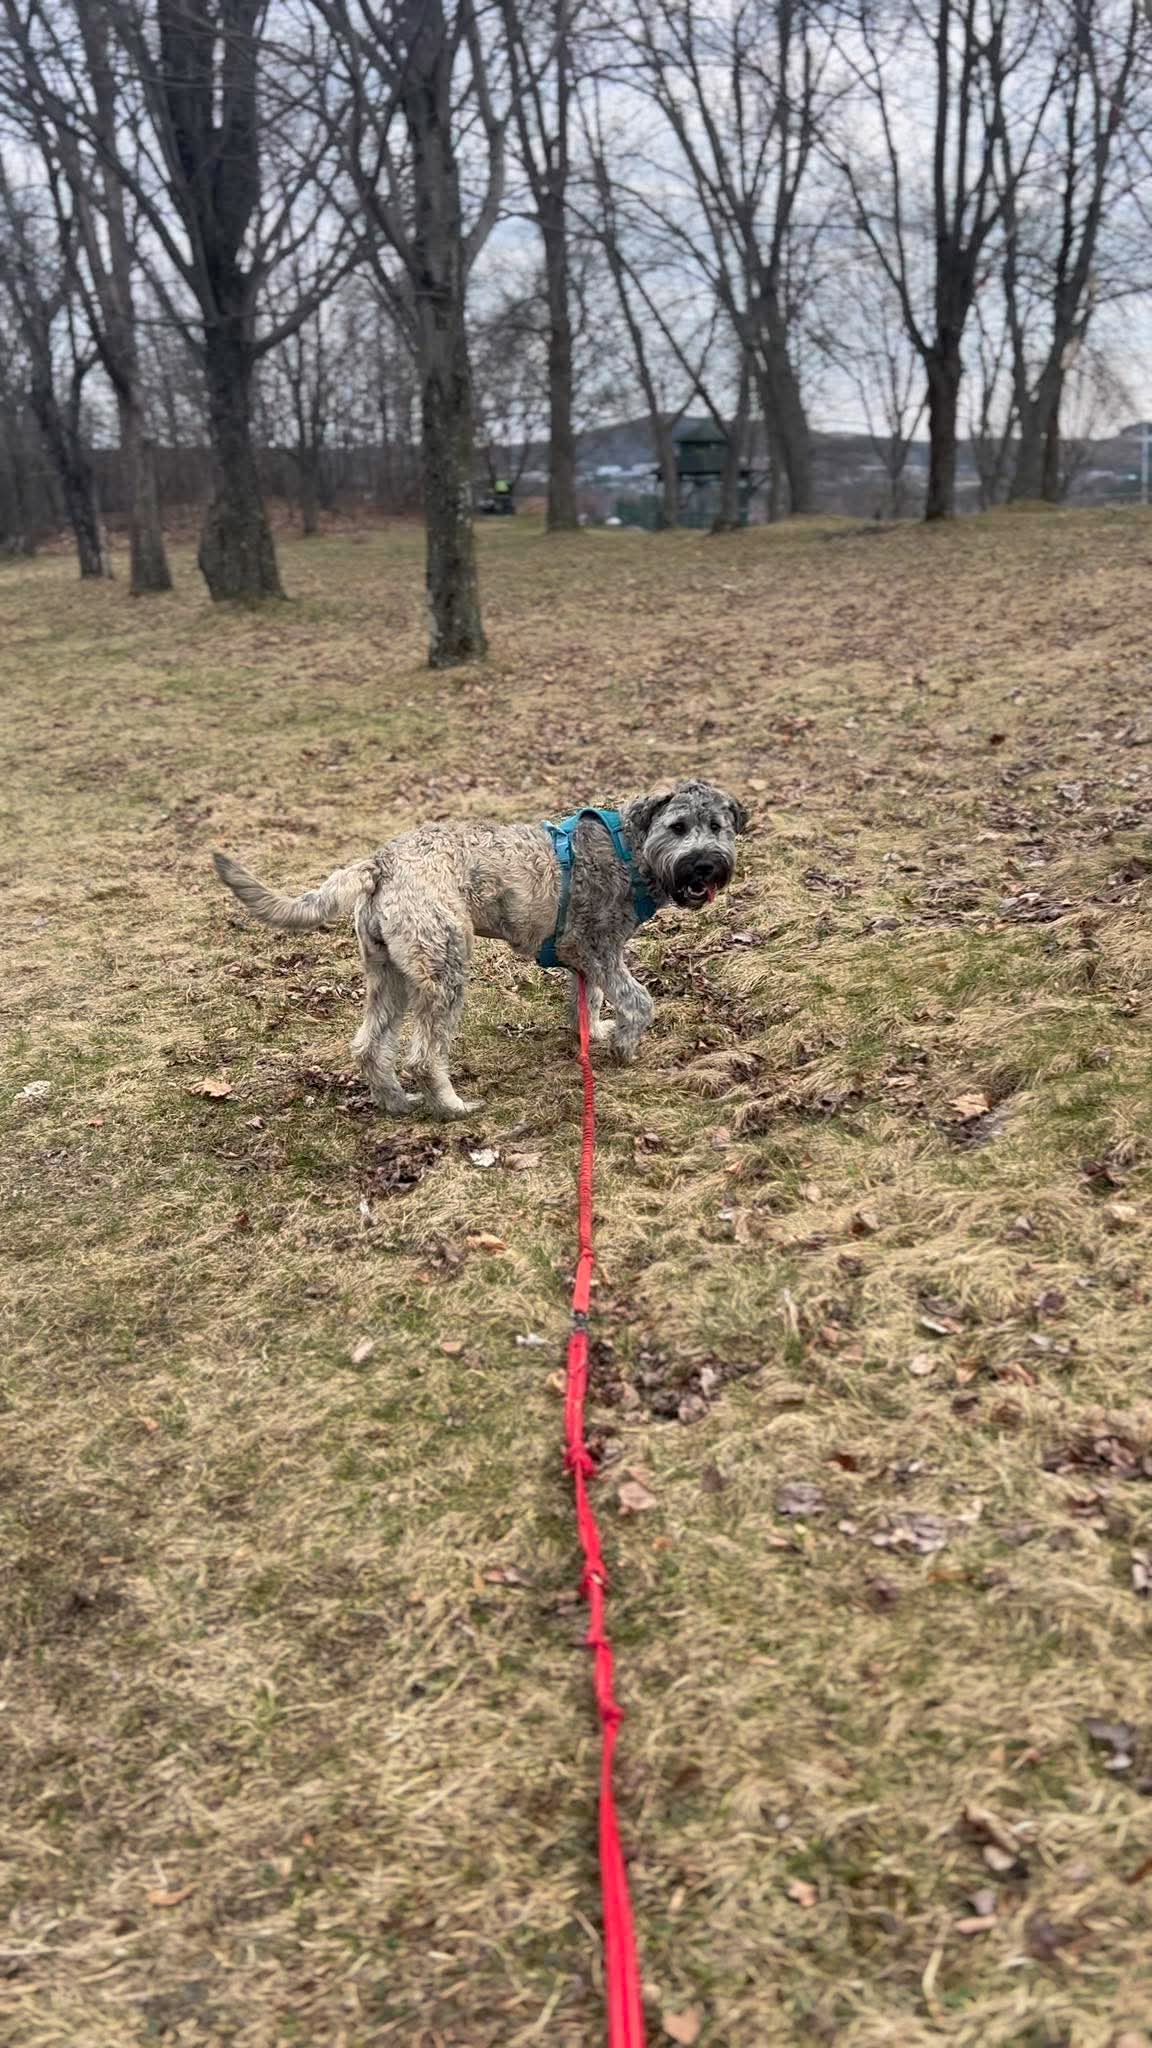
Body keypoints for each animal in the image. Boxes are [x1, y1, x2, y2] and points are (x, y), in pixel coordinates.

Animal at [212, 778, 747, 1118]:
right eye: (678, 827)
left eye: (718, 826)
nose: (705, 866)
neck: (631, 848)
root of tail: (381, 862)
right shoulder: (597, 948)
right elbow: (638, 1000)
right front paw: (624, 1048)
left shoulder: (589, 958)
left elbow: (591, 1000)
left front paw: (594, 1033)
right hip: (444, 968)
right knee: (424, 1057)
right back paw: (452, 1108)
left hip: (391, 975)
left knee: (368, 1046)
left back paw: (397, 1104)